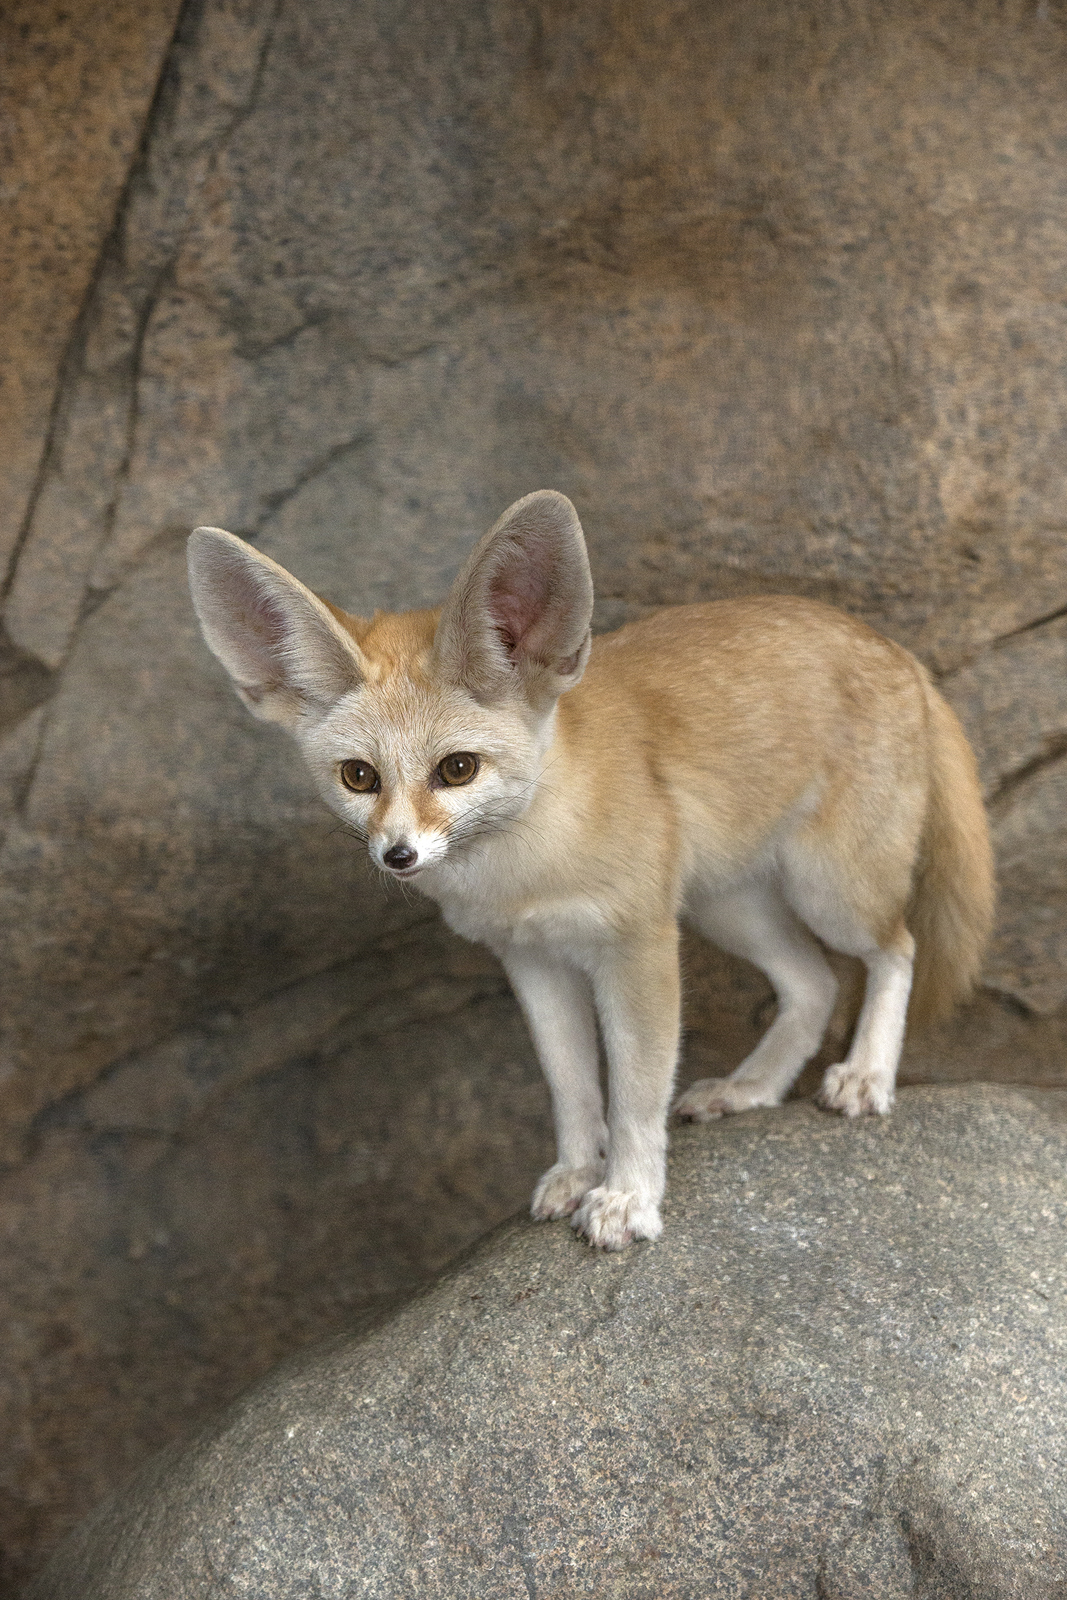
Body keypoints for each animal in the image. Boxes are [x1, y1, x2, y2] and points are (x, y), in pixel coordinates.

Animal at [187, 486, 998, 1248]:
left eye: (456, 769)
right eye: (359, 778)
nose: (399, 855)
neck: (525, 872)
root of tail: (894, 648)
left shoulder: (636, 949)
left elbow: (634, 1094)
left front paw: (629, 1198)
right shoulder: (531, 962)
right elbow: (572, 1088)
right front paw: (579, 1172)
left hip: (828, 890)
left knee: (895, 950)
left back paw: (866, 1075)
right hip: (729, 908)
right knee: (815, 982)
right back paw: (751, 1089)